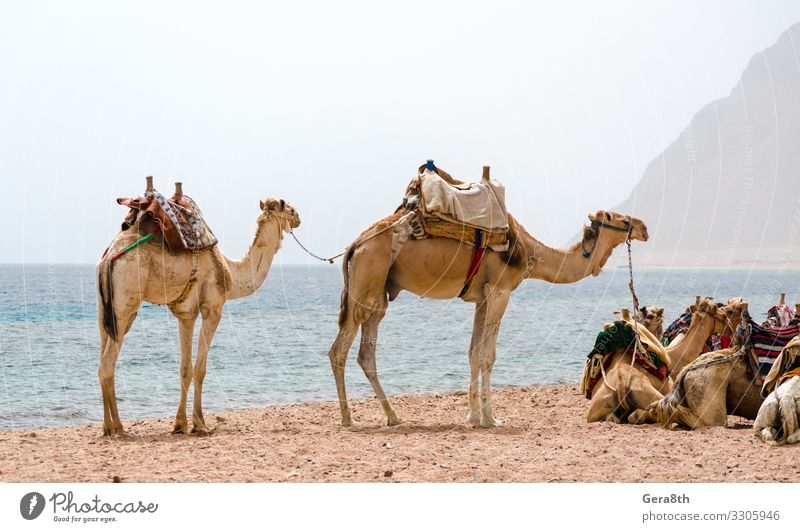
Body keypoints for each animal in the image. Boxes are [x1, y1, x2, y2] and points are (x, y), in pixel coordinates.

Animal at [94, 193, 300, 434]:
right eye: (289, 208)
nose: (299, 218)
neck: (231, 269)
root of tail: (108, 260)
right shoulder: (213, 308)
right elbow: (200, 368)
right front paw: (200, 424)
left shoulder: (186, 313)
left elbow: (185, 369)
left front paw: (180, 424)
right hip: (125, 304)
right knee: (107, 365)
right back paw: (118, 427)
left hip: (104, 310)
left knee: (102, 360)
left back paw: (107, 427)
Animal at [328, 208, 648, 428]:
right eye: (621, 220)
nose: (643, 227)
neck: (528, 252)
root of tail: (354, 245)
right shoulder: (499, 291)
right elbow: (487, 355)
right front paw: (490, 419)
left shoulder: (481, 298)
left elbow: (473, 352)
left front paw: (472, 415)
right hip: (366, 283)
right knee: (338, 351)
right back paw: (348, 419)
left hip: (379, 293)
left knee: (364, 354)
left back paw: (392, 417)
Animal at [580, 298, 744, 426]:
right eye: (720, 311)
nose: (730, 328)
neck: (677, 355)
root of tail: (620, 385)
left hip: (595, 411)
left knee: (613, 417)